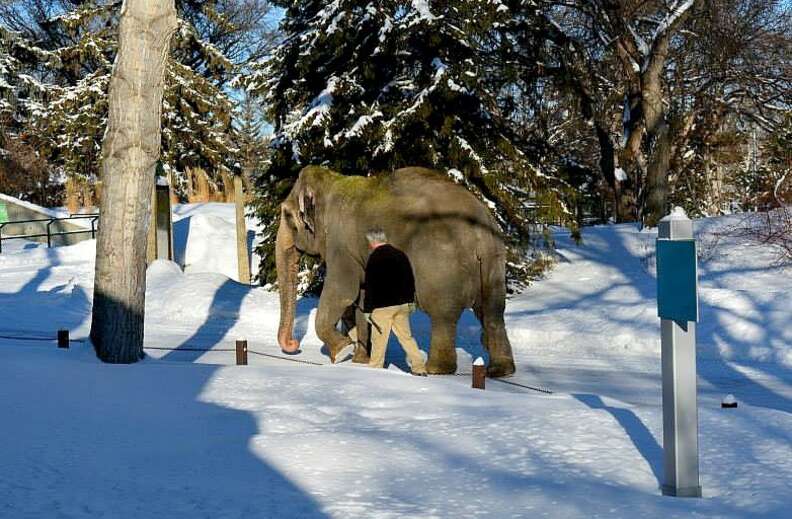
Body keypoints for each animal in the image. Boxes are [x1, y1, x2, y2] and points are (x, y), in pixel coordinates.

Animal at [276, 167, 516, 378]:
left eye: (287, 215)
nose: (293, 345)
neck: (333, 182)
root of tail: (480, 233)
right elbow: (362, 297)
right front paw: (360, 360)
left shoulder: (341, 246)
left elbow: (342, 291)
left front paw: (343, 351)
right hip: (494, 263)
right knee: (492, 311)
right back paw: (500, 371)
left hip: (441, 268)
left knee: (443, 314)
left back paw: (437, 369)